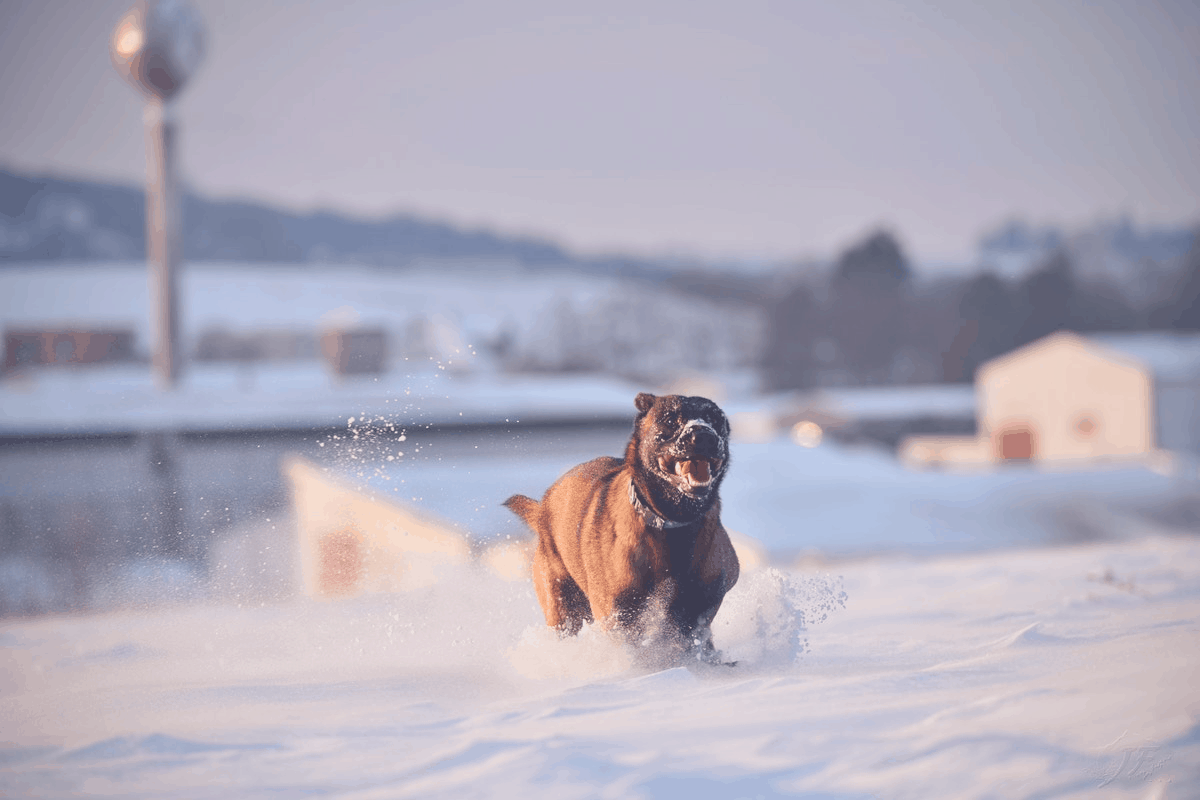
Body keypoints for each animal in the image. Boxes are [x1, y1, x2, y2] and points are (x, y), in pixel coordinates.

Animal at [501, 391, 734, 662]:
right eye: (670, 419)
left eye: (715, 419)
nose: (704, 435)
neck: (671, 524)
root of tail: (543, 509)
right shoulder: (618, 612)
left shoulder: (702, 602)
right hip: (562, 606)